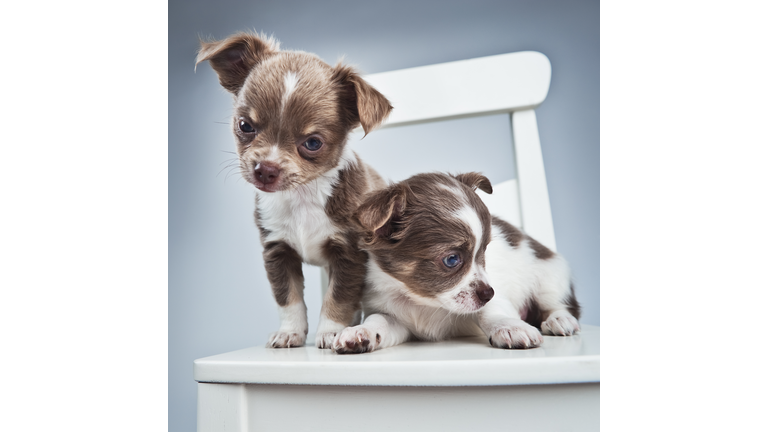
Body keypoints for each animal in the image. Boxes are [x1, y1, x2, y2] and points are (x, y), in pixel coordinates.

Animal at [195, 31, 392, 348]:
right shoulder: (278, 251)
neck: (302, 197)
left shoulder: (349, 254)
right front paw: (290, 332)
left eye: (312, 143)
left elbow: (338, 297)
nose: (265, 169)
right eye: (245, 126)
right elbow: (288, 298)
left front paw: (330, 332)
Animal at [332, 172, 584, 354]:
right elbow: (378, 321)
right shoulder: (393, 317)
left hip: (549, 276)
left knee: (561, 305)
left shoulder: (494, 299)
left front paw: (509, 327)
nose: (488, 292)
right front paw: (360, 332)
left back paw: (559, 320)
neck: (423, 302)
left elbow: (490, 310)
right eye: (452, 259)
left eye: (484, 252)